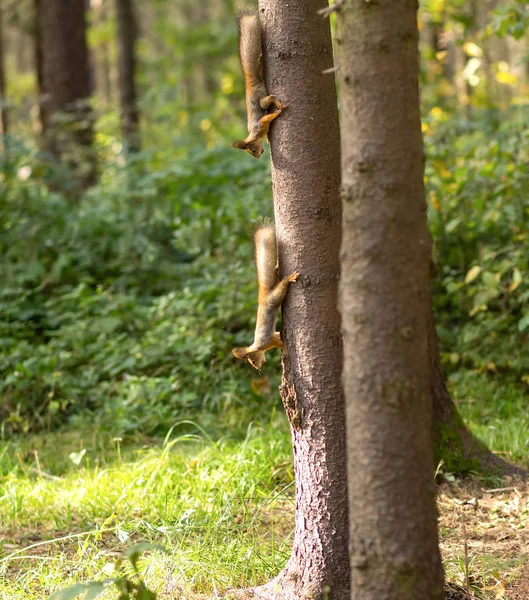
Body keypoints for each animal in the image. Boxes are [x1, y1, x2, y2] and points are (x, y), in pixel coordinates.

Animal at [230, 11, 284, 158]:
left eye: (252, 150)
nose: (259, 156)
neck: (254, 135)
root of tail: (251, 86)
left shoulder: (259, 124)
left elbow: (266, 118)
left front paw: (276, 114)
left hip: (260, 100)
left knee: (268, 100)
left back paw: (280, 105)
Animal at [233, 223, 300, 368]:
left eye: (252, 361)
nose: (259, 366)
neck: (258, 346)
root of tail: (263, 297)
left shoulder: (269, 341)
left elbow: (279, 342)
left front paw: (284, 347)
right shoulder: (272, 337)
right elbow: (277, 335)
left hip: (274, 298)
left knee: (281, 287)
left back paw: (288, 279)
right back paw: (277, 265)